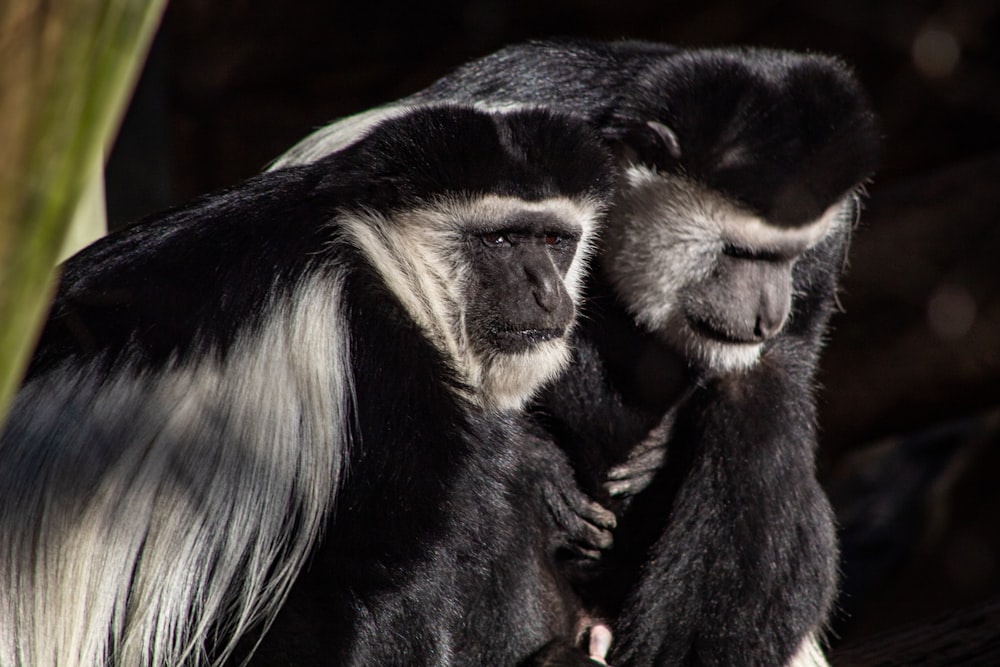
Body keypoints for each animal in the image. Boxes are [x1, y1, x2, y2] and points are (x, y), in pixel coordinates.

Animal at [0, 107, 616, 664]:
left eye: (554, 240)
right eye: (502, 241)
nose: (549, 295)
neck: (373, 255)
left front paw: (537, 461)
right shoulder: (373, 377)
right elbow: (354, 585)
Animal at [278, 40, 880, 667]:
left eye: (789, 256)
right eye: (739, 252)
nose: (769, 312)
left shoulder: (824, 249)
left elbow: (773, 382)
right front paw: (538, 464)